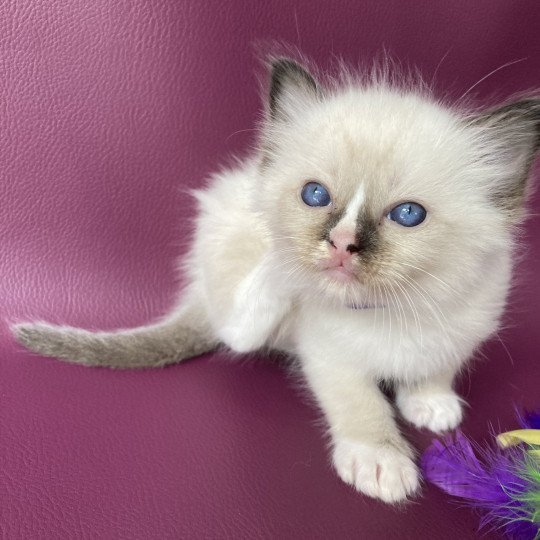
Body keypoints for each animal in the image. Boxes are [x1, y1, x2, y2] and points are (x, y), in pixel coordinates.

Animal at [12, 58, 540, 502]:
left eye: (408, 215)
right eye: (315, 195)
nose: (340, 243)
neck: (391, 310)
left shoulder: (463, 326)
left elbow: (436, 368)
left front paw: (430, 404)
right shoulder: (330, 357)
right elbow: (362, 406)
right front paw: (380, 462)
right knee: (237, 329)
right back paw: (276, 272)